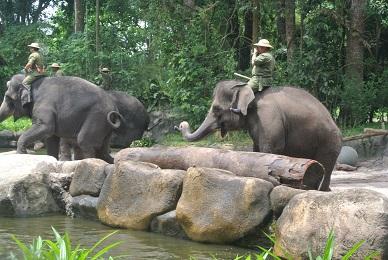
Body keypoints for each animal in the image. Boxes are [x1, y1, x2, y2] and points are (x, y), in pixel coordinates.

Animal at [177, 80, 342, 190]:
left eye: (217, 109)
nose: (181, 124)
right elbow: (256, 150)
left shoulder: (268, 117)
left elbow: (270, 149)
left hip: (329, 143)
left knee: (326, 165)